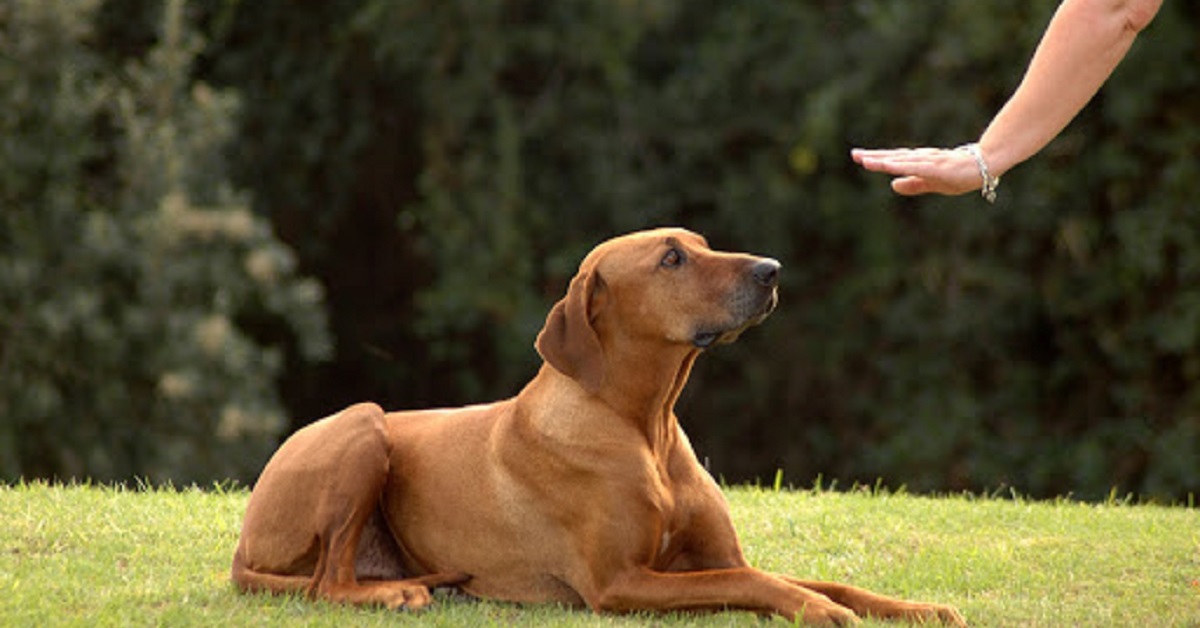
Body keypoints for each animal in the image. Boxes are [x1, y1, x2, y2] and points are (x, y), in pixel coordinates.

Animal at [231, 228, 964, 624]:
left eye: (702, 245)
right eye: (671, 259)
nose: (772, 270)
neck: (644, 425)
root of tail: (242, 544)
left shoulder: (717, 556)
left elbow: (816, 579)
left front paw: (918, 609)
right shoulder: (620, 583)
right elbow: (756, 584)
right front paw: (821, 613)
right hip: (364, 425)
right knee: (327, 583)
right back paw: (397, 594)